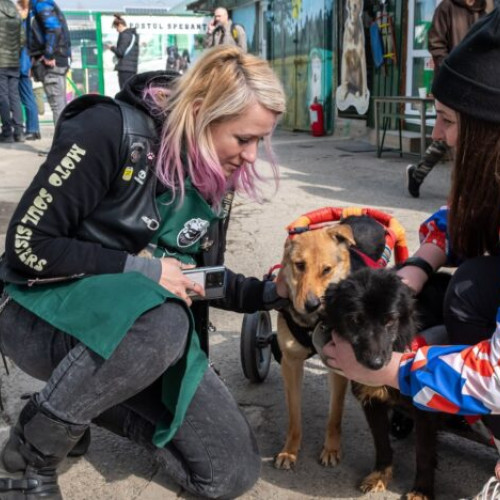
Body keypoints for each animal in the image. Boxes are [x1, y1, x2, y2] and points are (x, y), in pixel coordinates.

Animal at [322, 270, 436, 500]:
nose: (375, 365)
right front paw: (379, 475)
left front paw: (421, 490)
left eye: (390, 320)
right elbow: (381, 442)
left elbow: (424, 453)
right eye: (355, 319)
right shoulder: (372, 403)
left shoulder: (425, 410)